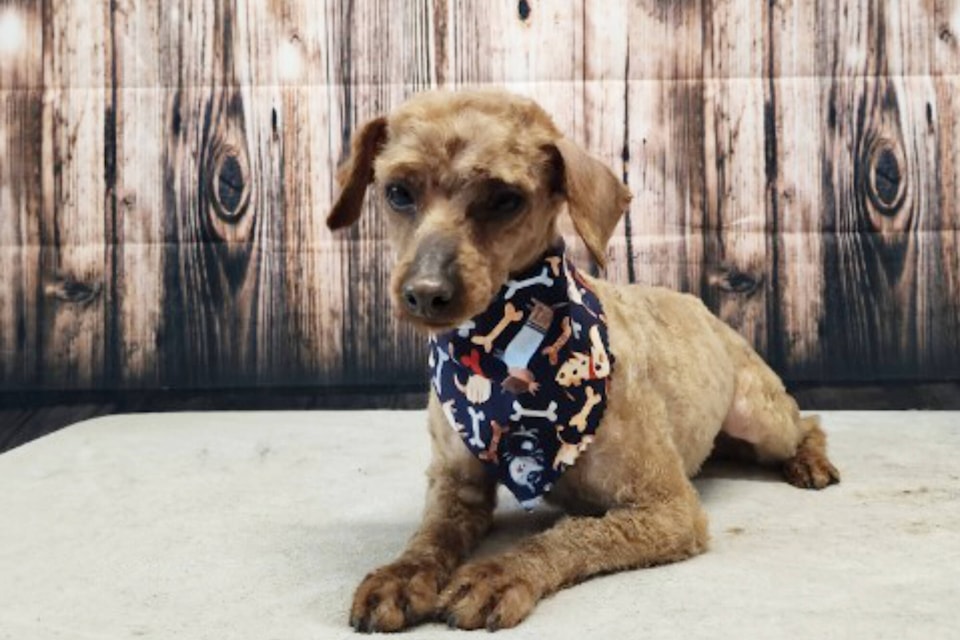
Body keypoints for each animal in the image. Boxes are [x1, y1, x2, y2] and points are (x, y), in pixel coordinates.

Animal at [326, 90, 836, 636]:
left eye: (505, 199)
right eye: (398, 193)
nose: (424, 293)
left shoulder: (669, 509)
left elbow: (568, 536)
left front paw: (499, 574)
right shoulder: (455, 484)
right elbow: (430, 536)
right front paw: (401, 574)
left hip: (759, 414)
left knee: (807, 423)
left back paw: (810, 462)